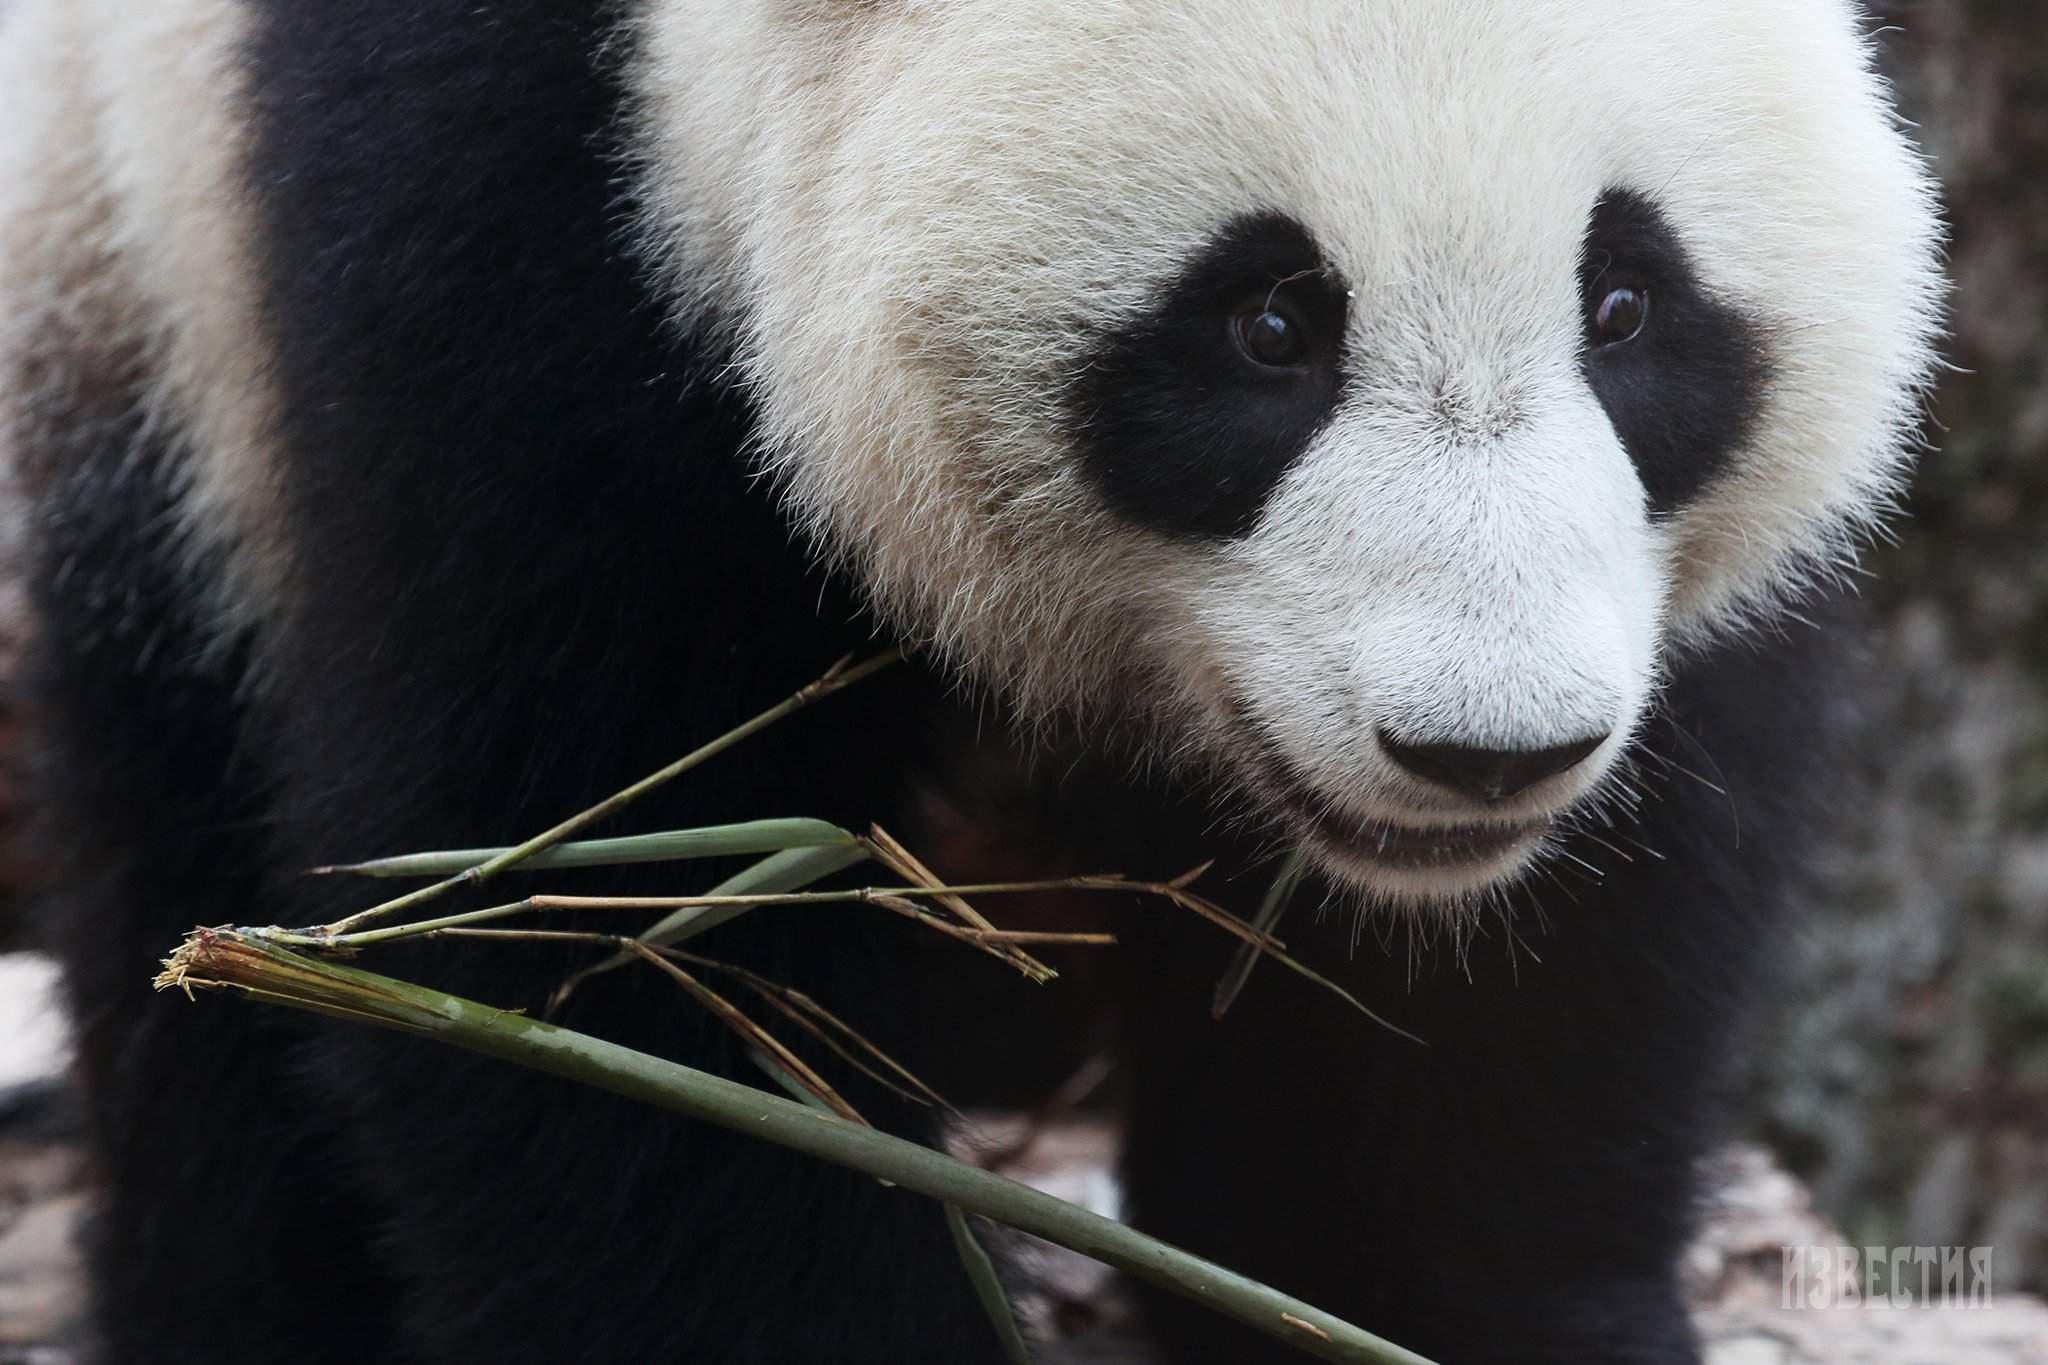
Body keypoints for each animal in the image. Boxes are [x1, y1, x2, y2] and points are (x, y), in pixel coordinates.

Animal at [0, 2, 1933, 1365]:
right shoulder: (508, 229)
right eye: (1268, 324)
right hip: (134, 276)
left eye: (1625, 303)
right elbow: (603, 921)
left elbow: (1504, 1026)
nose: (1483, 751)